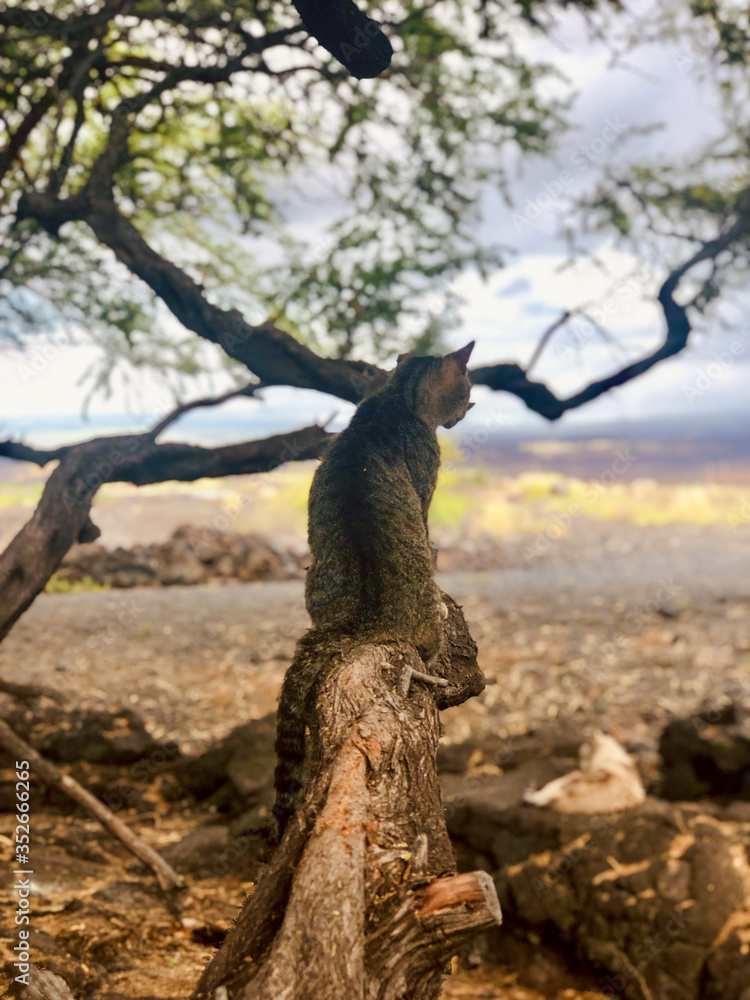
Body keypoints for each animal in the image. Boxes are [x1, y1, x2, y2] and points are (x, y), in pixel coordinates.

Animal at [272, 343, 474, 840]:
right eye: (466, 389)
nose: (470, 406)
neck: (395, 401)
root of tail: (363, 620)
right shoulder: (426, 483)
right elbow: (429, 532)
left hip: (314, 577)